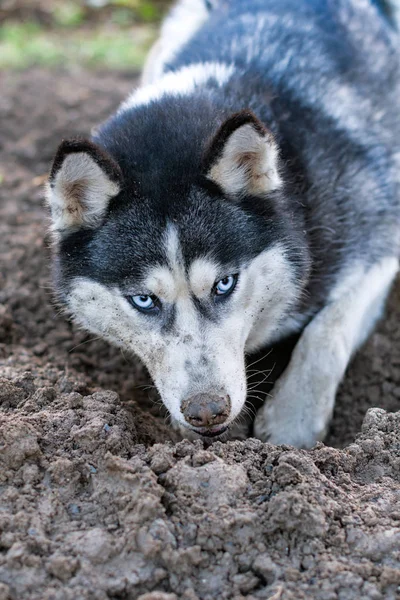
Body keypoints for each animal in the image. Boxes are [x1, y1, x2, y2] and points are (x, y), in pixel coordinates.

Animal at [47, 0, 400, 448]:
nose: (205, 410)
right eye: (143, 300)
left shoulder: (381, 236)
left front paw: (293, 422)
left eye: (224, 284)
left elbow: (328, 329)